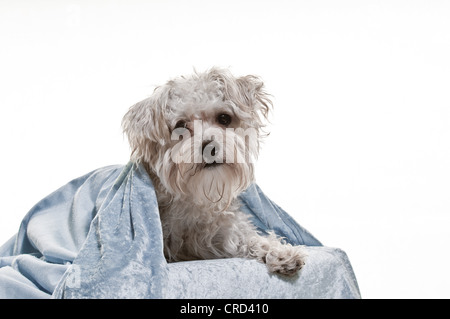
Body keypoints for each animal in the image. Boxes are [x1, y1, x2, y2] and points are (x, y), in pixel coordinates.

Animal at [122, 68, 306, 278]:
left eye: (224, 118)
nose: (209, 147)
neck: (195, 199)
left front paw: (281, 252)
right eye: (180, 126)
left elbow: (250, 238)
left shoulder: (224, 232)